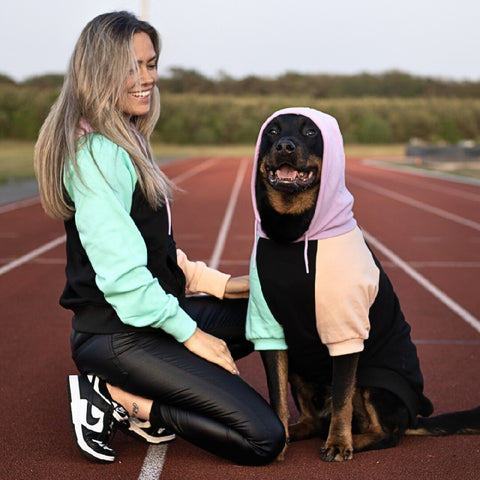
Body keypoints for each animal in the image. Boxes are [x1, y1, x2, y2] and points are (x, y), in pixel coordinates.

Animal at [248, 108, 480, 462]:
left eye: (310, 132)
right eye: (272, 131)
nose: (285, 146)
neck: (294, 234)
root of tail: (413, 416)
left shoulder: (348, 331)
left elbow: (343, 396)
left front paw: (339, 444)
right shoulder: (269, 328)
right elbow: (277, 398)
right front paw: (279, 441)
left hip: (373, 378)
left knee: (385, 432)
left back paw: (350, 440)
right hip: (302, 364)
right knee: (315, 420)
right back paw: (299, 432)